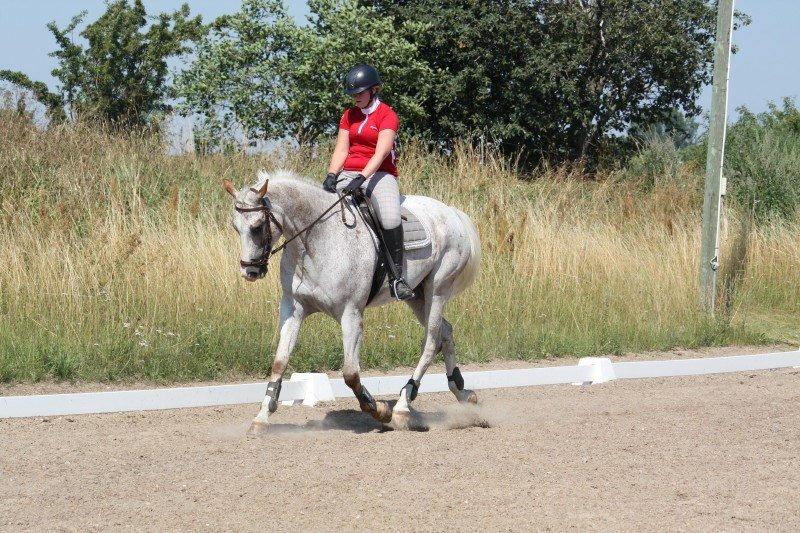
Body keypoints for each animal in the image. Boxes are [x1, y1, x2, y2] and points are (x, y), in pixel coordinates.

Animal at [222, 170, 478, 432]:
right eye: (236, 227)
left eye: (257, 226)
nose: (250, 271)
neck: (316, 240)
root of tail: (452, 213)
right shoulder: (293, 308)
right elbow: (279, 362)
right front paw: (261, 418)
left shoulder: (351, 313)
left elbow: (350, 373)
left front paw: (380, 411)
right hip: (417, 296)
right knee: (445, 331)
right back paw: (462, 392)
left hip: (437, 290)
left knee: (432, 340)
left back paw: (402, 407)